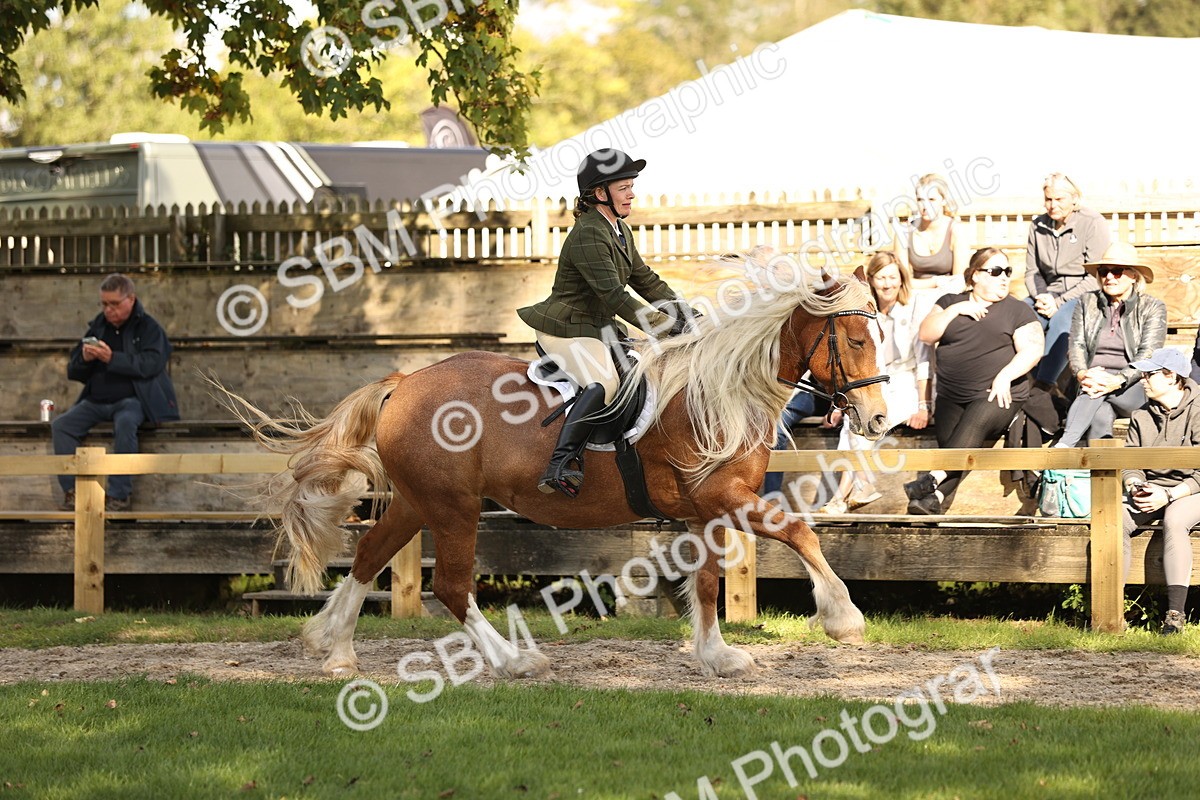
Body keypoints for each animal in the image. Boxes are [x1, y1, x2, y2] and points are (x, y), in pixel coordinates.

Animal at [220, 268, 890, 680]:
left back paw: (332, 650)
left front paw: (716, 655)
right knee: (452, 587)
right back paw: (515, 662)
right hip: (455, 508)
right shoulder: (724, 495)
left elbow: (704, 584)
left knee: (368, 557)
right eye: (856, 339)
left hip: (419, 501)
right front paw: (843, 619)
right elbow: (800, 531)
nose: (880, 418)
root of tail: (405, 382)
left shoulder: (707, 510)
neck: (717, 391)